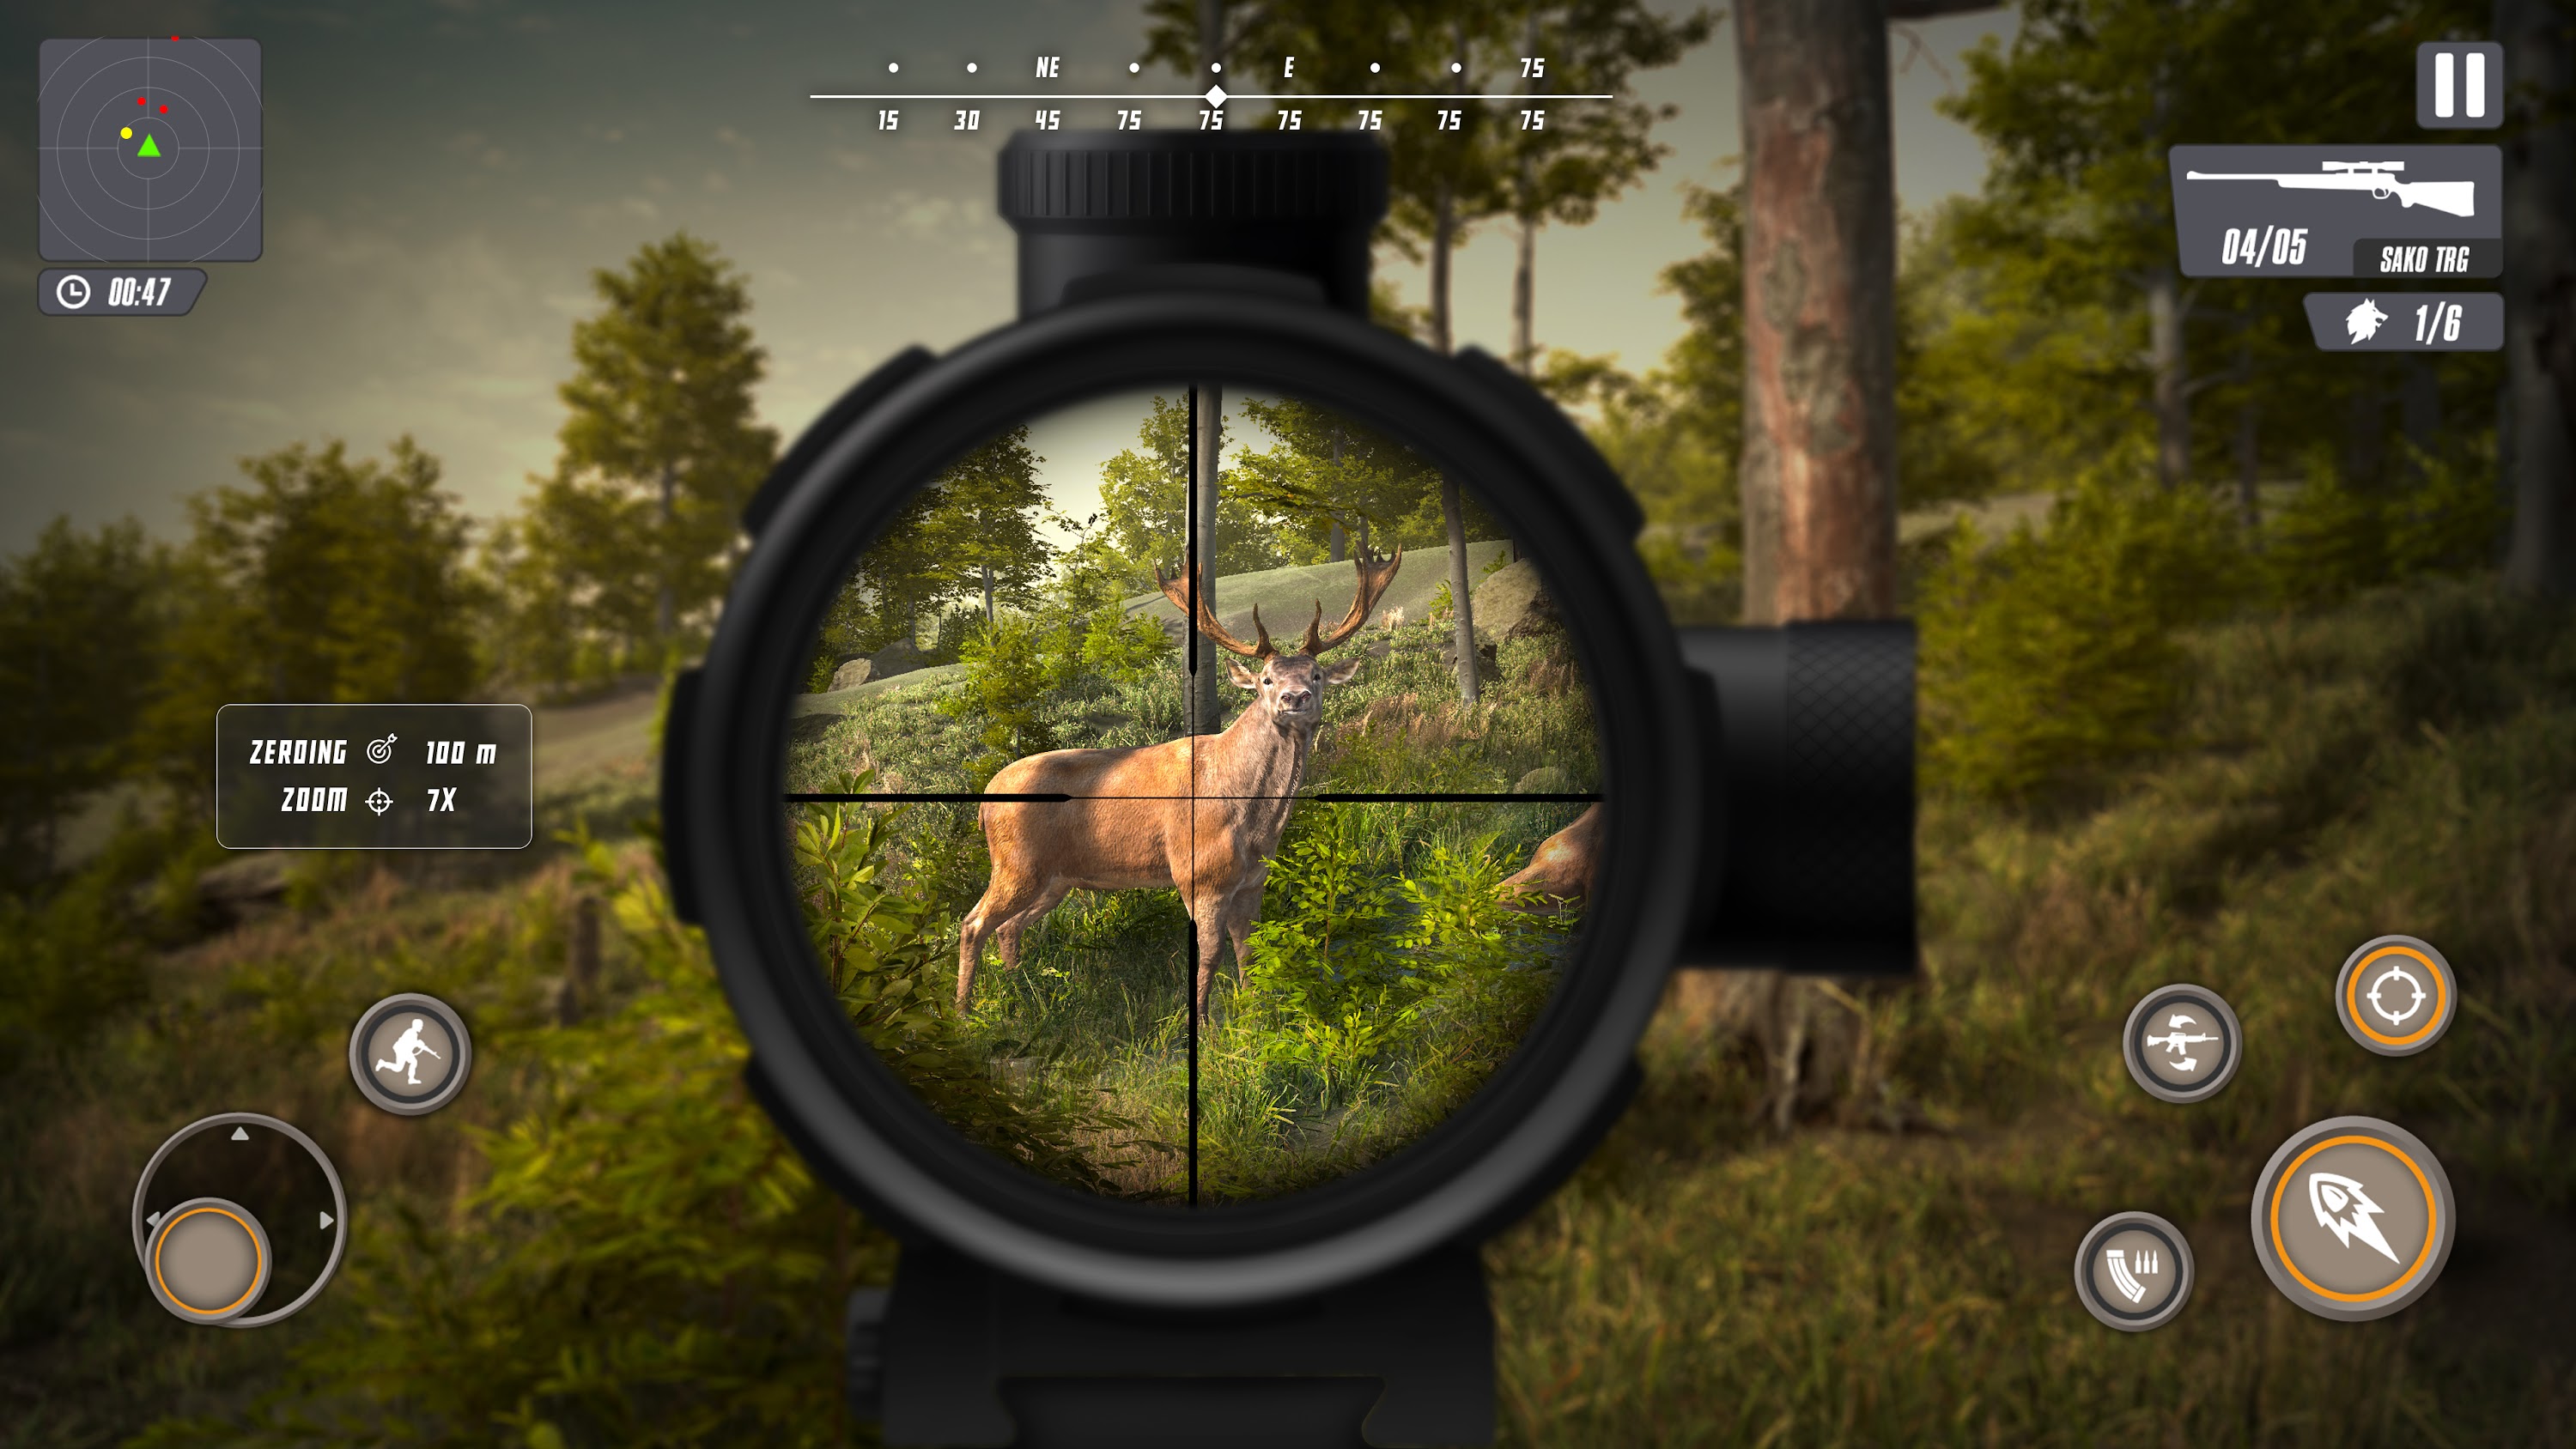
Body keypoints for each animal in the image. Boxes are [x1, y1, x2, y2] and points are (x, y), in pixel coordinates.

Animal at [957, 548, 1403, 1019]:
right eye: (1265, 679)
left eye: (1316, 675)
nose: (1294, 697)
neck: (1256, 820)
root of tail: (985, 801)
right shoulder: (1199, 874)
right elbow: (1210, 954)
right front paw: (1205, 1021)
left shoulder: (1253, 880)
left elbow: (1248, 949)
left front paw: (1254, 1009)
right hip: (1016, 861)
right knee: (973, 922)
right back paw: (965, 1013)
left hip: (1055, 877)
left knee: (1008, 927)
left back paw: (1018, 990)